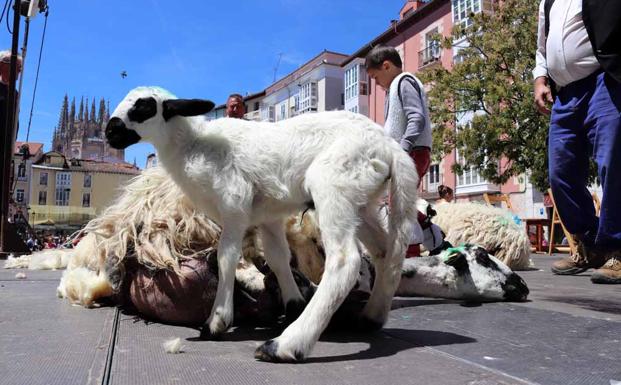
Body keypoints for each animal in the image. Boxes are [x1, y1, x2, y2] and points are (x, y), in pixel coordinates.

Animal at [104, 85, 418, 362]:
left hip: (334, 187)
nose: (109, 132)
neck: (193, 147)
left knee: (345, 261)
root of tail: (389, 147)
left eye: (144, 107)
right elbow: (279, 258)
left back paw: (285, 346)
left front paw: (216, 322)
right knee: (387, 253)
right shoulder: (268, 216)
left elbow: (226, 258)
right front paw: (293, 304)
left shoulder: (234, 205)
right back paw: (370, 318)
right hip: (361, 203)